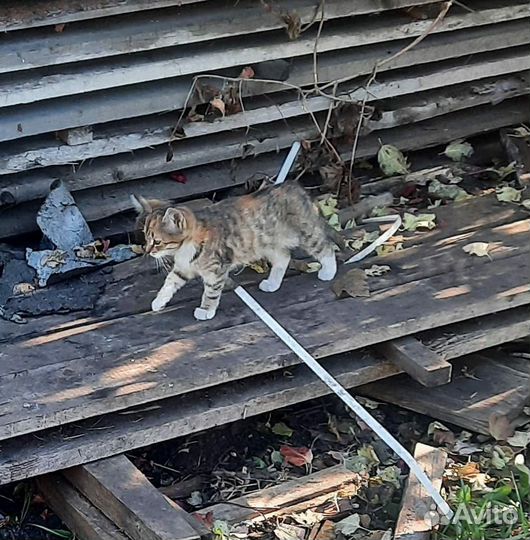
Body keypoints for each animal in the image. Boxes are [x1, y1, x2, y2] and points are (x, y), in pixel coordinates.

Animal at [134, 184, 336, 318]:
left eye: (157, 241)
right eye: (145, 237)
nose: (148, 251)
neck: (185, 249)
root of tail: (298, 188)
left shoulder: (216, 270)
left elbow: (211, 292)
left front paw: (206, 310)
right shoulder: (183, 268)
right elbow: (169, 283)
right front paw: (159, 302)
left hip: (306, 233)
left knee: (325, 247)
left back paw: (328, 271)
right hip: (267, 243)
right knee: (283, 258)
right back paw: (272, 283)